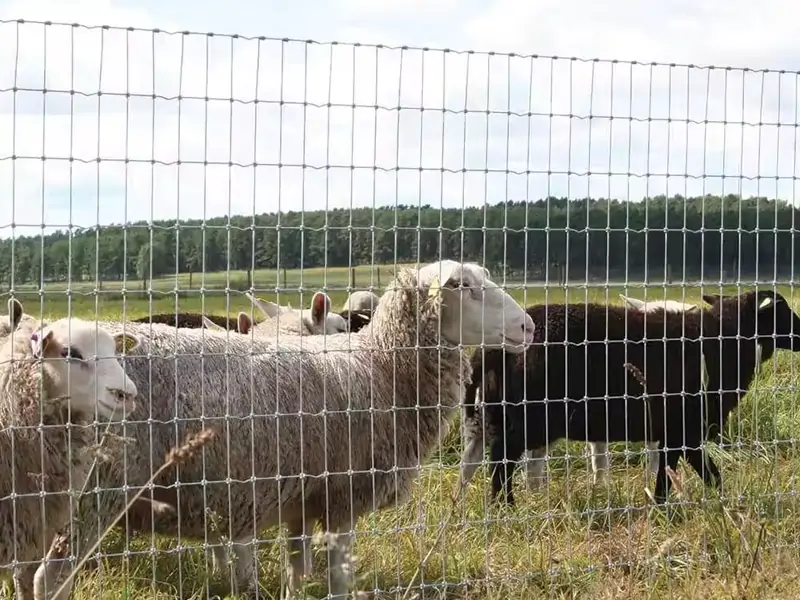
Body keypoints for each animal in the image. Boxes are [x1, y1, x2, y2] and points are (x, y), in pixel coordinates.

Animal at [31, 260, 536, 600]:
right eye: (465, 287)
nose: (528, 326)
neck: (380, 367)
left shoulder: (300, 500)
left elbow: (298, 572)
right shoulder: (342, 495)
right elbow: (337, 577)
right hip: (98, 489)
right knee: (49, 578)